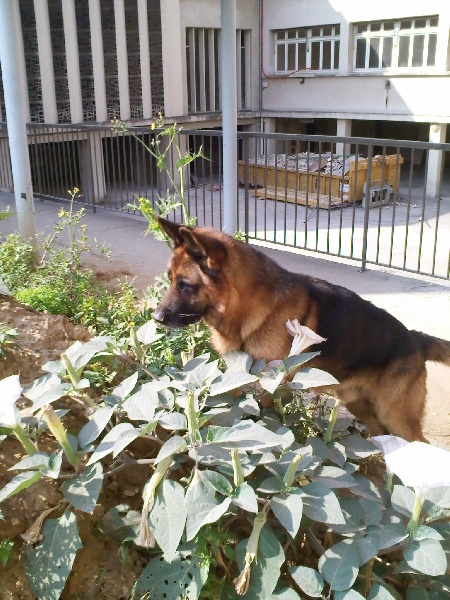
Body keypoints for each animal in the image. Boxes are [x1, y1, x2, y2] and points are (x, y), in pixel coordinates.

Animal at [153, 217, 450, 442]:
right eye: (170, 280)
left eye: (185, 285)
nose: (156, 318)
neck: (252, 309)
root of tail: (416, 339)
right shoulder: (236, 377)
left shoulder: (270, 385)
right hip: (360, 405)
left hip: (395, 416)